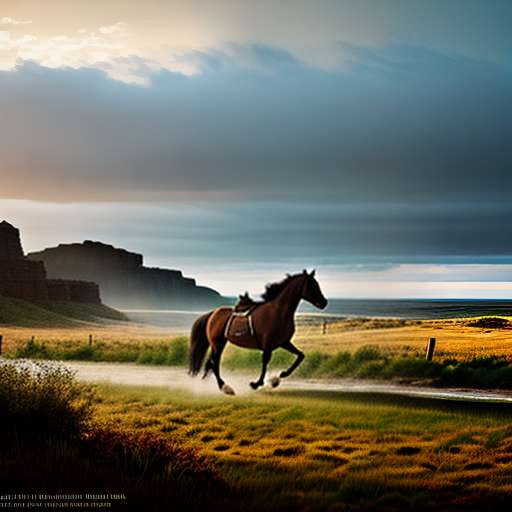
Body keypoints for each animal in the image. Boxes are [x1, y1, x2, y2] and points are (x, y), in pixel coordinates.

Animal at [188, 270, 328, 394]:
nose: (324, 302)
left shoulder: (284, 342)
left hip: (219, 343)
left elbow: (300, 356)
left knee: (211, 363)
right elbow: (265, 362)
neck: (278, 312)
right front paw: (257, 383)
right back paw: (225, 387)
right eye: (312, 285)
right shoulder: (268, 345)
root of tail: (212, 314)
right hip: (217, 343)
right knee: (215, 363)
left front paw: (279, 376)